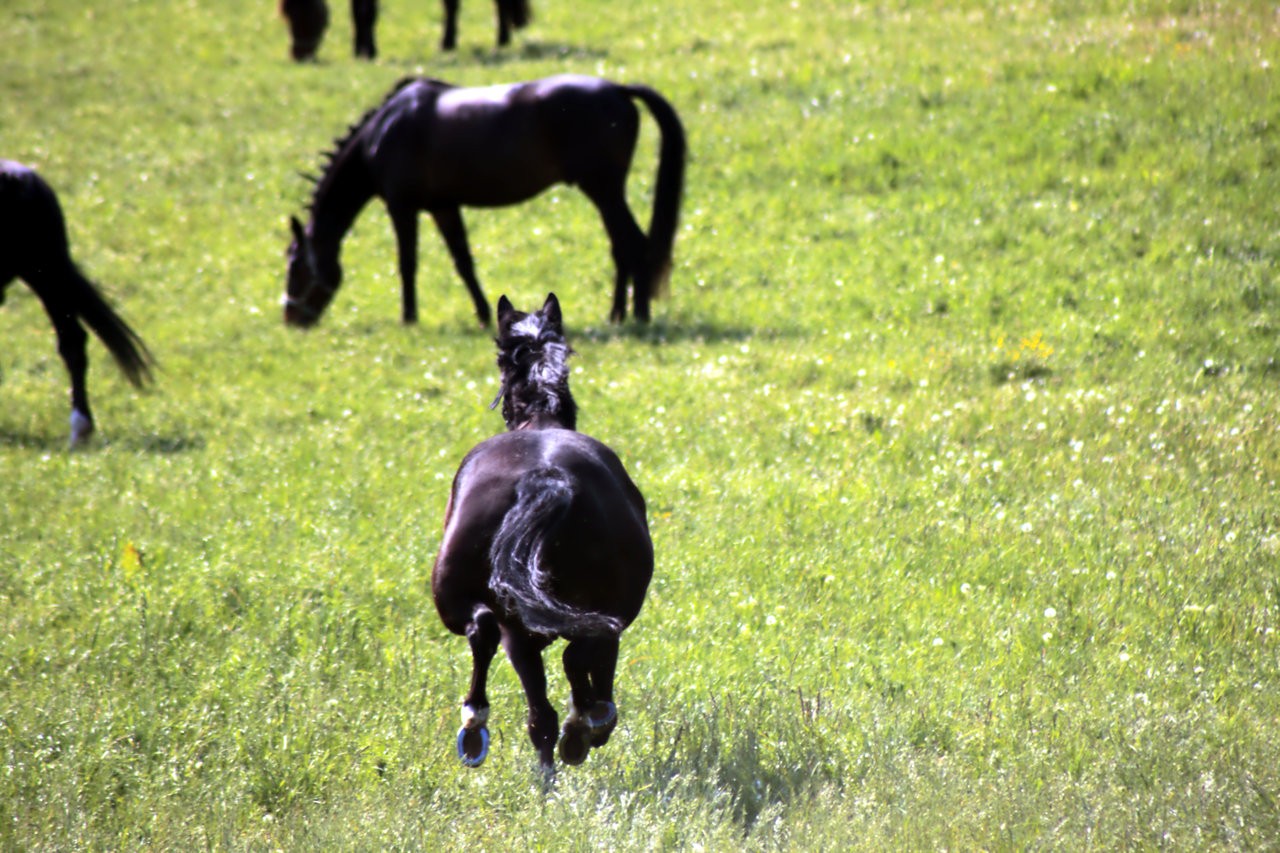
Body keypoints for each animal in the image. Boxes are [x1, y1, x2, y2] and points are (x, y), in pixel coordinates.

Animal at [284, 73, 686, 325]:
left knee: (633, 243)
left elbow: (407, 264)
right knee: (622, 246)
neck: (383, 132)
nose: (291, 318)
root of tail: (618, 88)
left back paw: (637, 315)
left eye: (296, 267)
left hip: (603, 189)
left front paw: (408, 318)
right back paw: (620, 314)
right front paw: (481, 314)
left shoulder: (402, 207)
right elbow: (463, 262)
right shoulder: (444, 207)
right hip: (605, 193)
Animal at [432, 292, 655, 768]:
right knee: (576, 659)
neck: (540, 422)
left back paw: (477, 727)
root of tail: (545, 476)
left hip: (478, 609)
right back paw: (582, 726)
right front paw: (590, 722)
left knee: (497, 650)